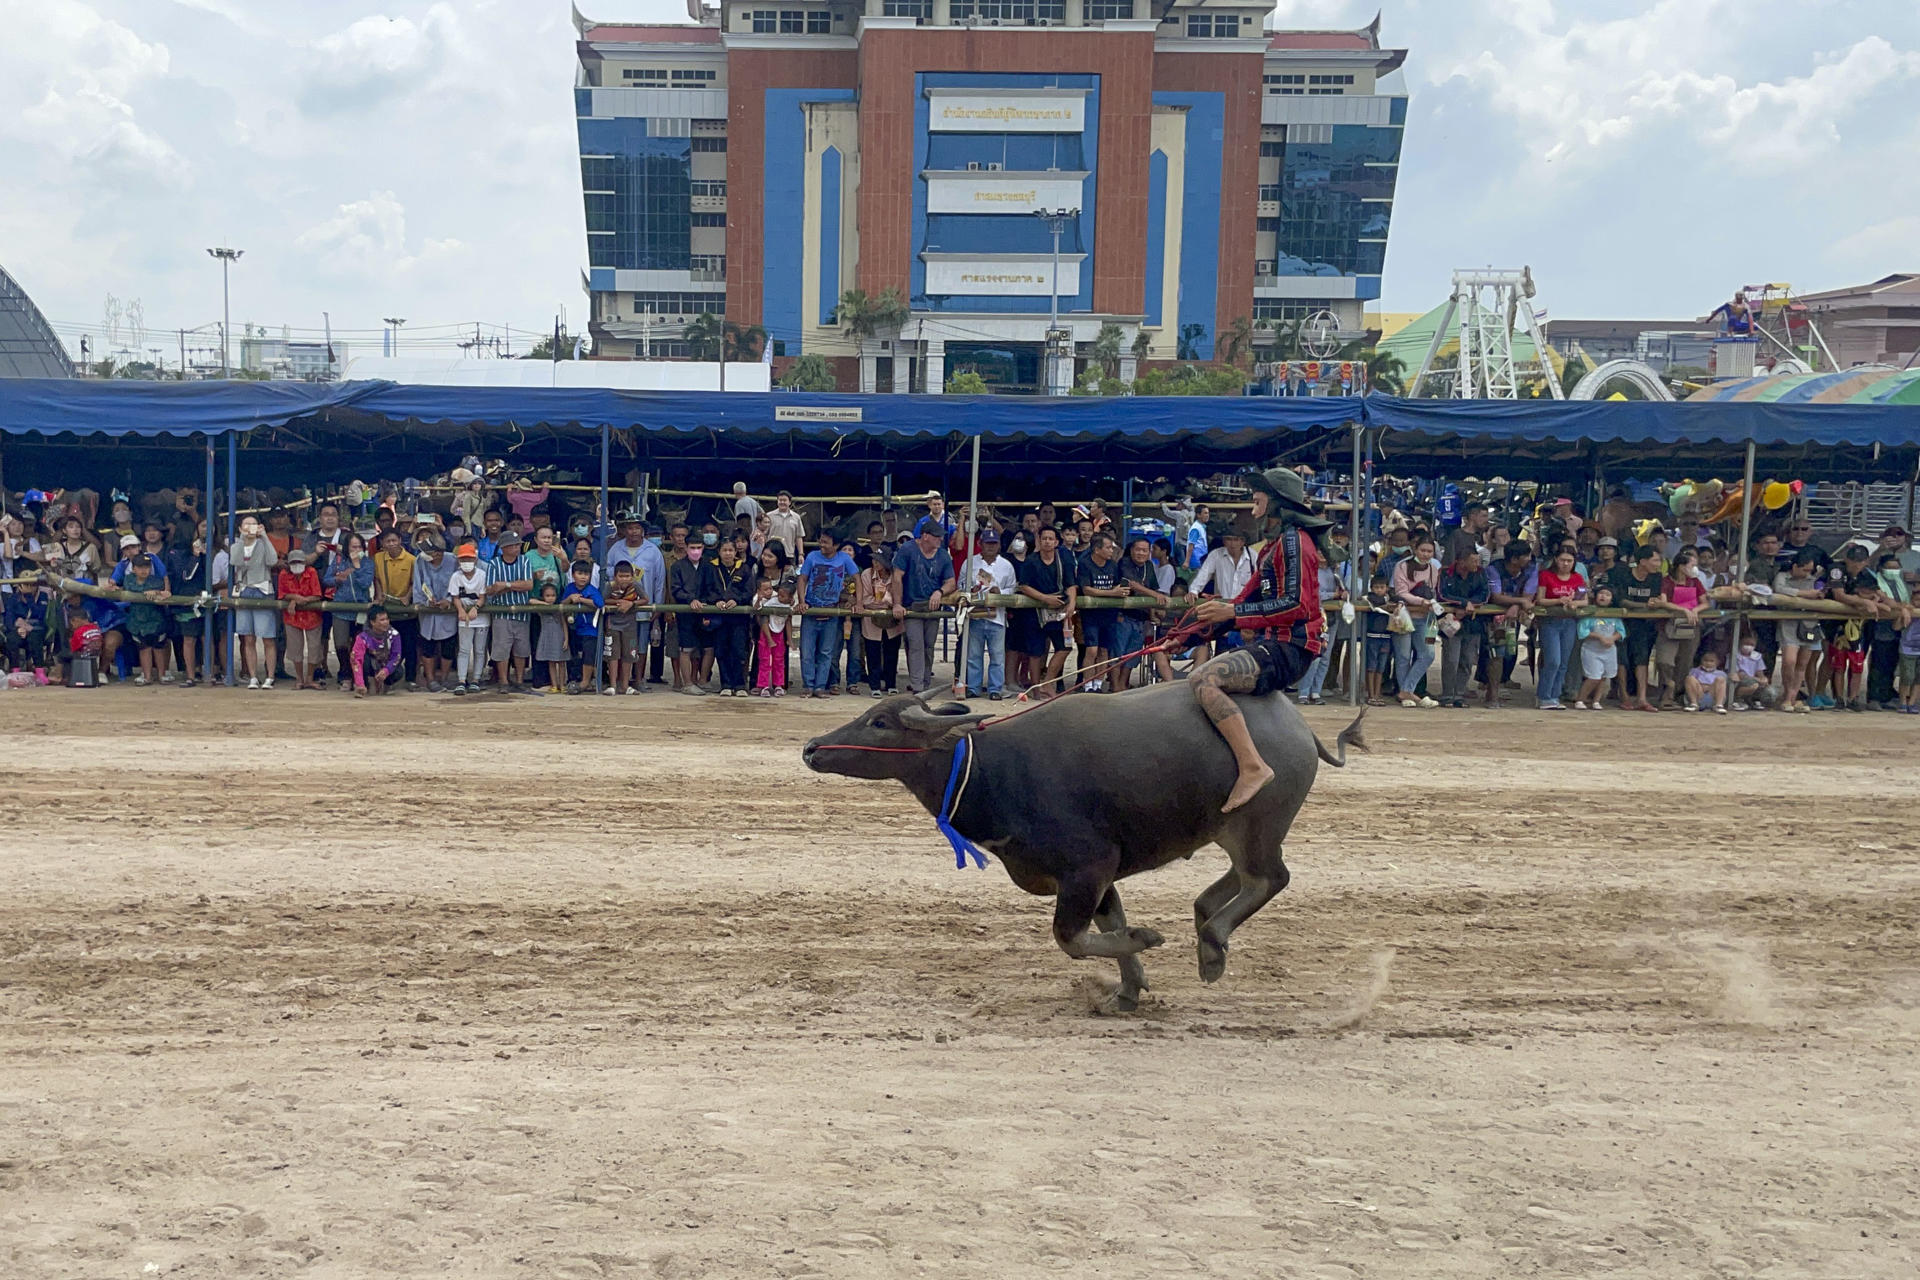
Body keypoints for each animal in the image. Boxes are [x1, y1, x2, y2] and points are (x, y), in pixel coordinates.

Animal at [798, 687, 1367, 1013]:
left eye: (879, 722)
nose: (811, 747)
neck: (991, 769)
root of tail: (1300, 729)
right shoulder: (1099, 877)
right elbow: (1109, 924)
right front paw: (1129, 988)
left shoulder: (1086, 868)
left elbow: (1070, 939)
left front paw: (1146, 940)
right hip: (1231, 828)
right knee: (1240, 880)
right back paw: (1206, 922)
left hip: (1259, 825)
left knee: (1269, 878)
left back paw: (1211, 944)